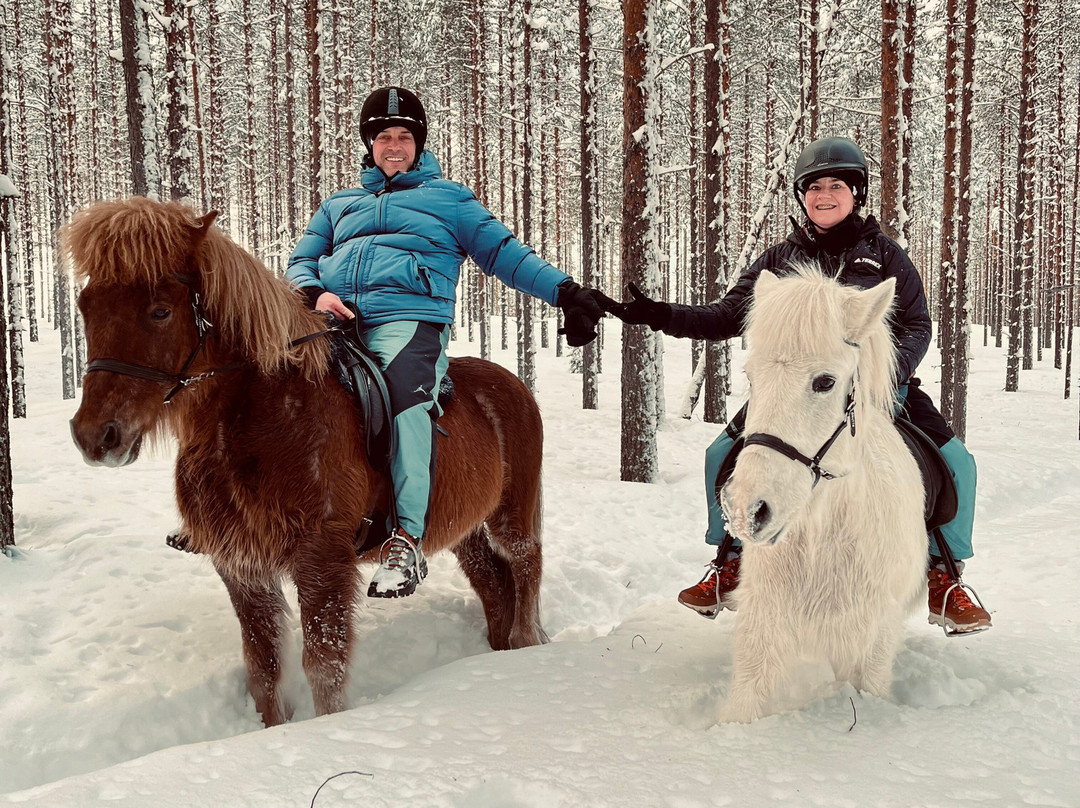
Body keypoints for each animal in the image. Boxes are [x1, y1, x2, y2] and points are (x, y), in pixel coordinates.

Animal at [67, 195, 548, 725]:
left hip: (511, 516)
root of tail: (514, 385)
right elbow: (263, 670)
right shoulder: (241, 567)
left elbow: (324, 666)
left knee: (525, 569)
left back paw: (527, 645)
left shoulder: (321, 560)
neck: (259, 421)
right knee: (493, 585)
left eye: (160, 310)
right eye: (85, 306)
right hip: (466, 530)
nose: (95, 436)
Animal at [717, 266, 928, 725]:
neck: (821, 537)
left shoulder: (873, 636)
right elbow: (743, 703)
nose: (746, 510)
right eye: (751, 377)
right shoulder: (763, 624)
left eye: (825, 382)